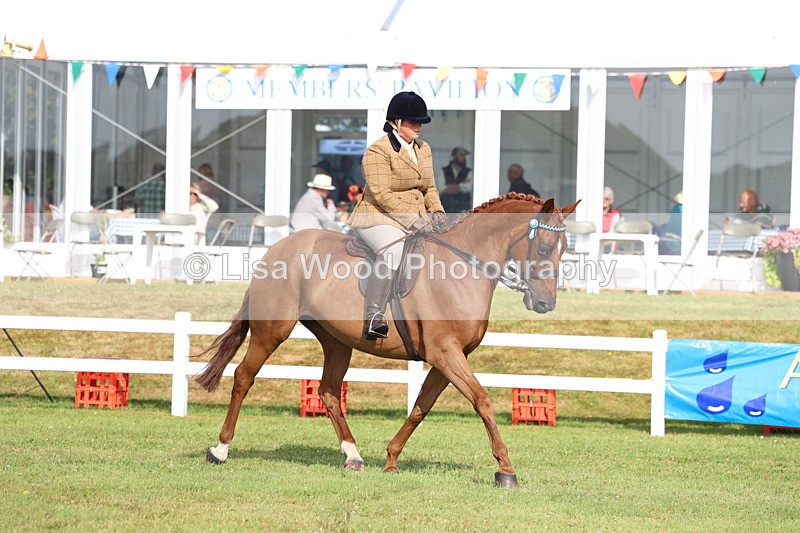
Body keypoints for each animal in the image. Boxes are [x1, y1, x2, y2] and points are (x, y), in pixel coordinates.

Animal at [196, 192, 578, 487]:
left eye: (563, 249)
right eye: (544, 247)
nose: (545, 303)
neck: (461, 267)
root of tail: (277, 247)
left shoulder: (448, 358)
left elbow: (421, 407)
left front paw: (392, 459)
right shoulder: (447, 354)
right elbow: (482, 402)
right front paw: (505, 470)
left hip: (336, 341)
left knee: (329, 392)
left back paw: (353, 456)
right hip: (271, 330)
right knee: (243, 377)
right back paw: (220, 449)